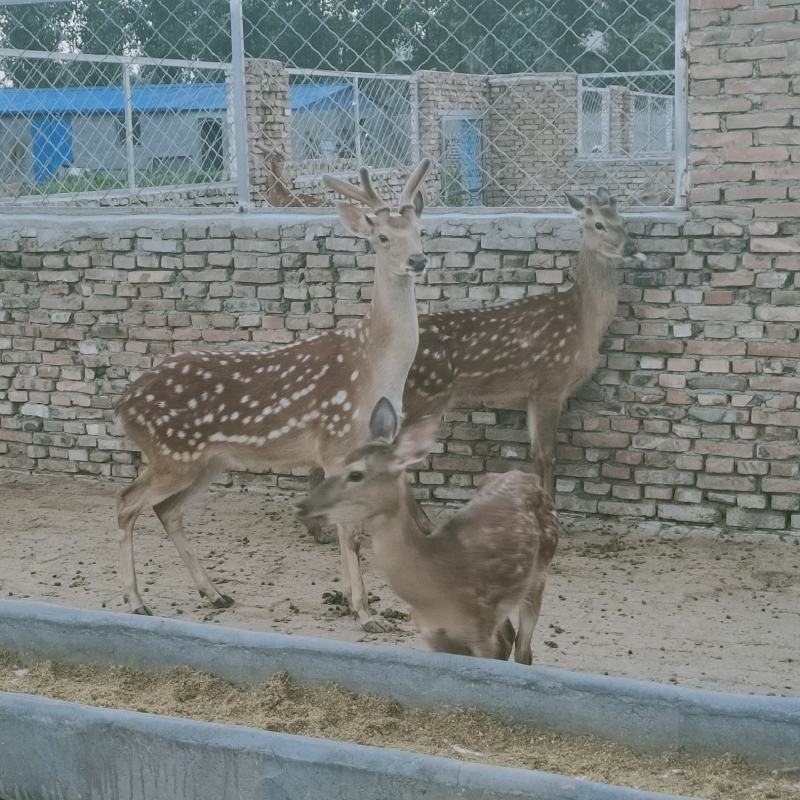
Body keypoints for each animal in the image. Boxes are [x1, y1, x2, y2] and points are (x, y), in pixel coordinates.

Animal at [114, 159, 431, 632]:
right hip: (172, 455)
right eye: (382, 238)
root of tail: (121, 403)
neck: (377, 367)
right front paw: (364, 612)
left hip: (206, 461)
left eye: (420, 230)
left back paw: (215, 593)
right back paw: (136, 601)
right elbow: (351, 533)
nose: (418, 259)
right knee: (127, 502)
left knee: (167, 510)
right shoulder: (337, 444)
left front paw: (347, 599)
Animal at [297, 397, 559, 663]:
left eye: (356, 474)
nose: (303, 505)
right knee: (510, 638)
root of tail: (527, 478)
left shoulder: (480, 628)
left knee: (523, 650)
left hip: (540, 573)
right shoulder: (434, 634)